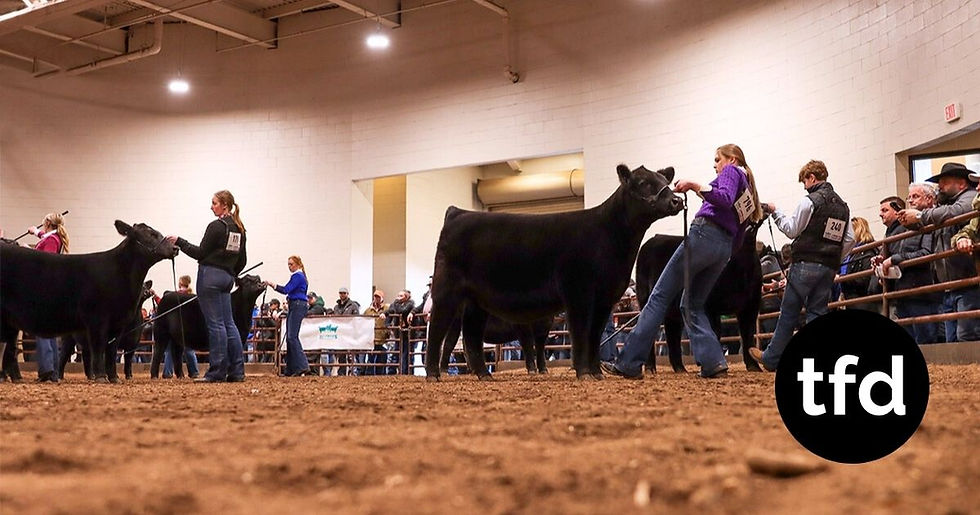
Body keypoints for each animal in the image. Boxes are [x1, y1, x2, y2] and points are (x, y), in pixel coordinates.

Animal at [0, 221, 179, 383]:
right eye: (151, 234)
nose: (175, 248)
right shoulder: (97, 319)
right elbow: (99, 348)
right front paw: (101, 377)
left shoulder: (117, 324)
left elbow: (111, 351)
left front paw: (114, 378)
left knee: (9, 349)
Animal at [424, 164, 684, 381]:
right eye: (643, 183)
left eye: (665, 180)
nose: (676, 201)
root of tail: (458, 212)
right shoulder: (577, 292)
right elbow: (581, 332)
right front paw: (584, 373)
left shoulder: (604, 298)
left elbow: (594, 334)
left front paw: (597, 373)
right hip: (446, 290)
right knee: (437, 329)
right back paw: (433, 374)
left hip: (475, 300)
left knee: (472, 334)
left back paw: (483, 375)